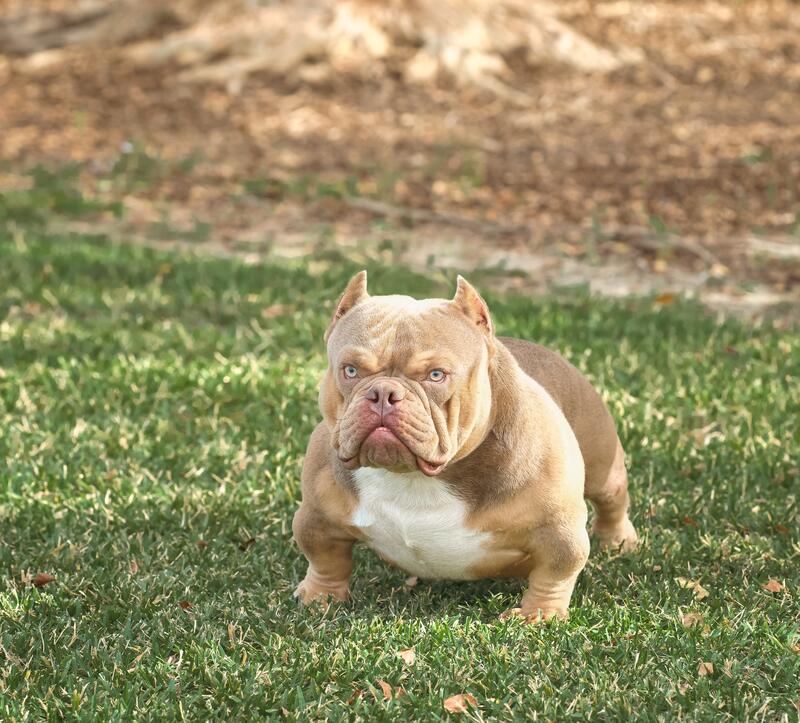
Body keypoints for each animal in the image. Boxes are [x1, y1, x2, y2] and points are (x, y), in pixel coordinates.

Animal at [292, 271, 638, 620]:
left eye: (436, 375)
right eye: (350, 370)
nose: (383, 394)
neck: (413, 476)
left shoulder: (557, 529)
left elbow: (556, 571)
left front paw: (539, 615)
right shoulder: (317, 516)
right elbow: (324, 558)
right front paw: (320, 597)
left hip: (602, 464)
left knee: (612, 500)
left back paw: (618, 540)